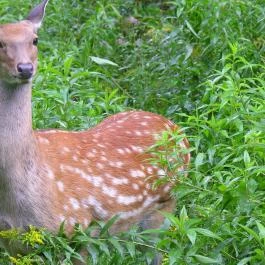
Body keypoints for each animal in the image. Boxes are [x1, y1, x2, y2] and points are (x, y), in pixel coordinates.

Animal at [0, 0, 190, 262]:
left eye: (35, 40)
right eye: (0, 42)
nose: (25, 68)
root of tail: (177, 129)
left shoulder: (78, 231)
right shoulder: (12, 243)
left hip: (166, 203)